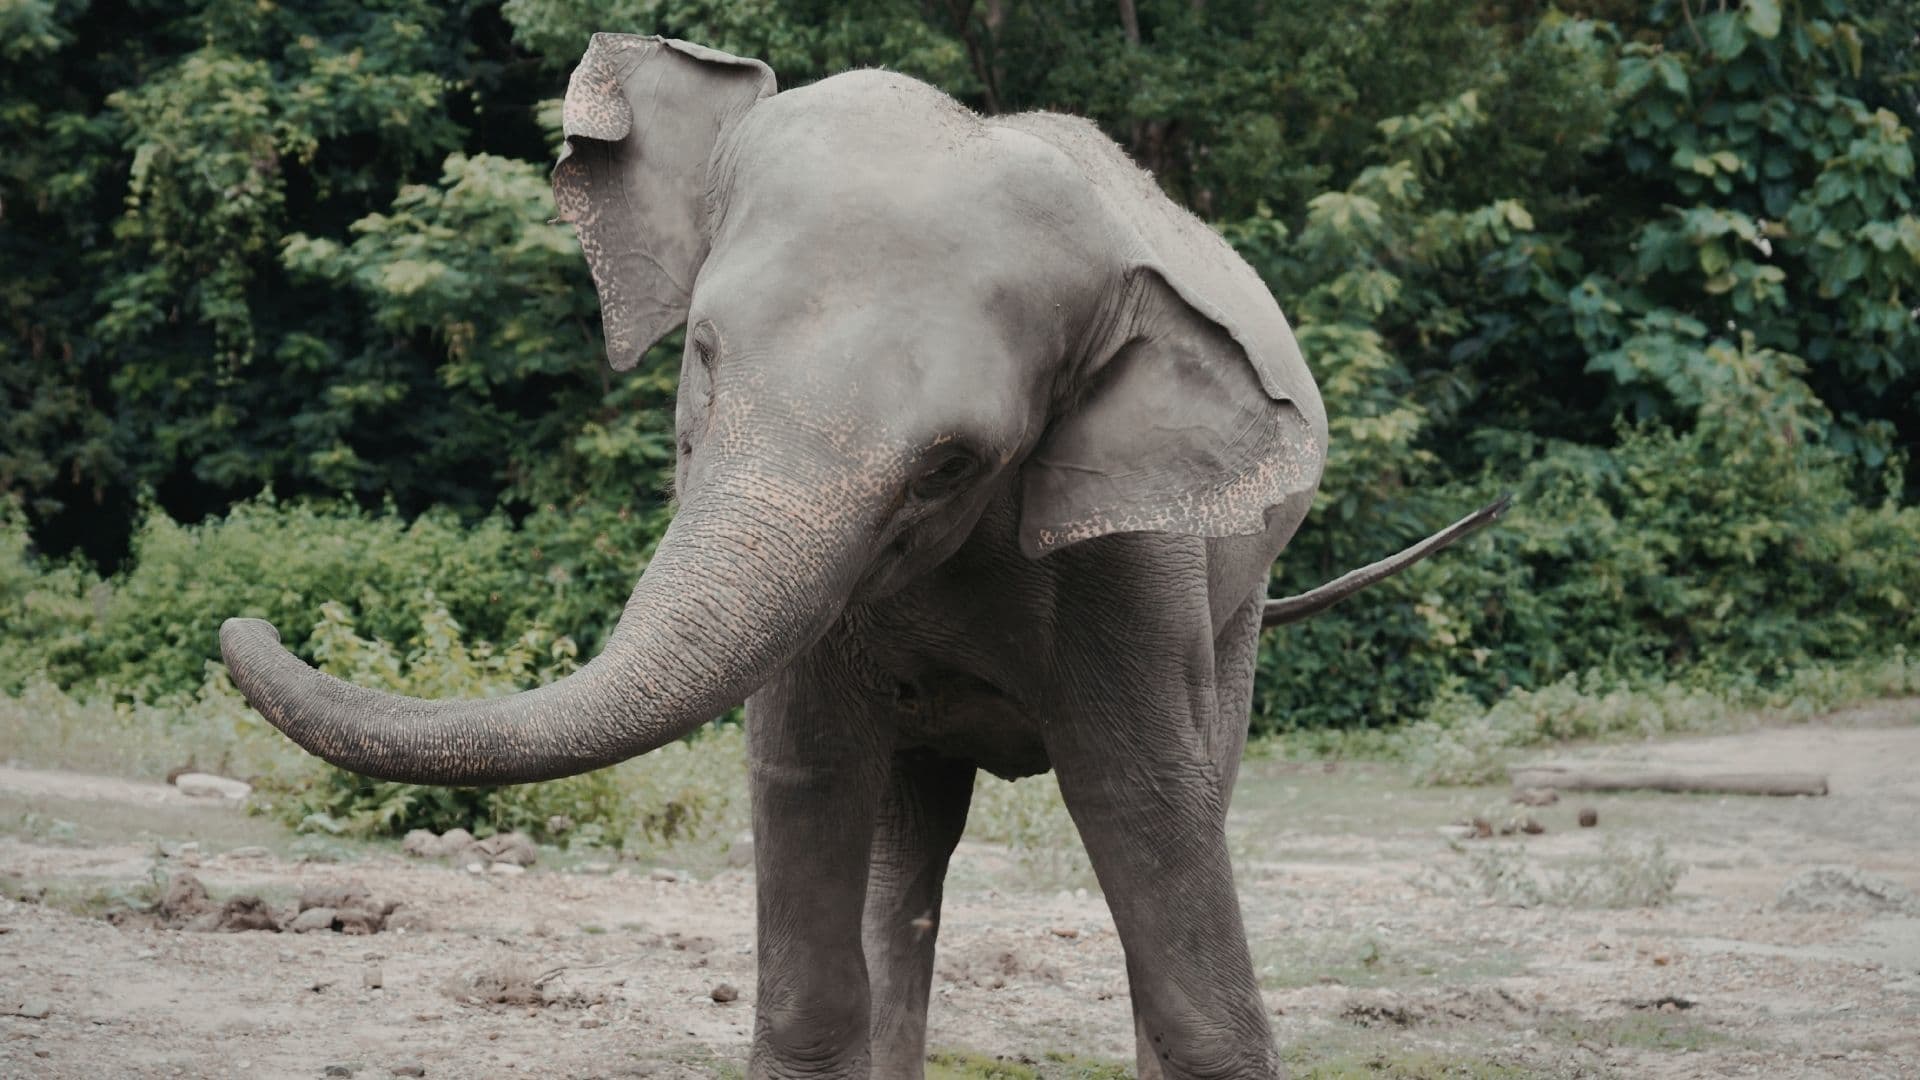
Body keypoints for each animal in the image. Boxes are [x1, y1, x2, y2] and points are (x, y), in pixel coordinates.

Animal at [220, 34, 1505, 1080]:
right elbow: (806, 772)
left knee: (1198, 779)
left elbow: (1145, 800)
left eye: (951, 461)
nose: (244, 624)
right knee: (904, 847)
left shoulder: (1133, 554)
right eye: (701, 355)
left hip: (1235, 607)